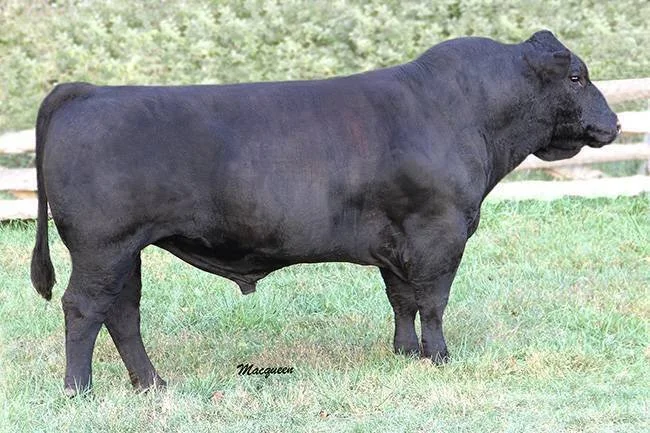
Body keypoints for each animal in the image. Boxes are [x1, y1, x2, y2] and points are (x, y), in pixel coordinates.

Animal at [31, 30, 619, 395]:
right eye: (576, 77)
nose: (613, 123)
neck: (467, 113)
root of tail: (88, 91)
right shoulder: (441, 231)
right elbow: (433, 301)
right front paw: (440, 357)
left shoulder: (397, 240)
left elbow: (402, 300)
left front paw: (405, 353)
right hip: (103, 245)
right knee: (84, 308)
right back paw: (79, 391)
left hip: (125, 250)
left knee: (122, 313)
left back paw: (151, 384)